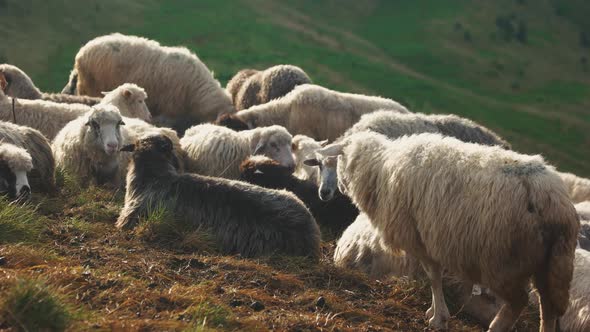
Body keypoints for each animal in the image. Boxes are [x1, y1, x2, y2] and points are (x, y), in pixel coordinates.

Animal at [322, 132, 580, 332]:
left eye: (338, 160)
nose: (337, 189)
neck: (380, 168)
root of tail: (553, 201)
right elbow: (434, 278)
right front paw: (433, 312)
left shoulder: (421, 239)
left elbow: (434, 278)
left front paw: (438, 317)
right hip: (550, 262)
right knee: (548, 306)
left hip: (503, 260)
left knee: (519, 301)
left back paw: (495, 327)